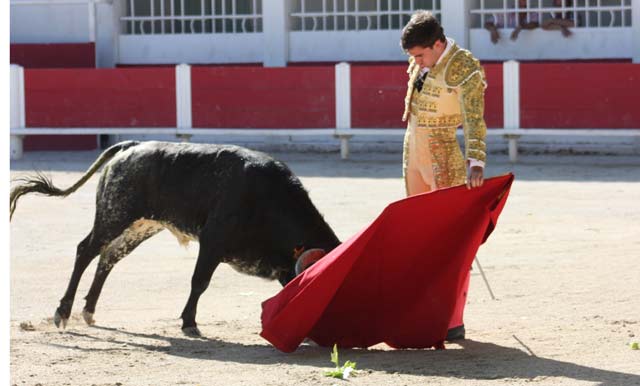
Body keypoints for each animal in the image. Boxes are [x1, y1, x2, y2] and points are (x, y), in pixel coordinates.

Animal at [10, 140, 340, 336]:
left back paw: (89, 311)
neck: (269, 199)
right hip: (114, 215)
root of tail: (131, 147)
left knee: (107, 258)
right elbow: (199, 282)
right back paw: (63, 312)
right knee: (86, 251)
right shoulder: (212, 243)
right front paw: (189, 323)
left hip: (139, 225)